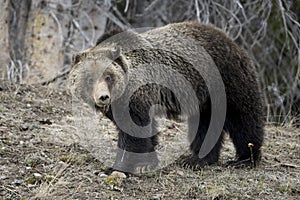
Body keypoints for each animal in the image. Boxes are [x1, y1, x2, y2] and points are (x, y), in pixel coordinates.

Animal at [68, 20, 264, 173]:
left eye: (108, 76)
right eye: (90, 78)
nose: (103, 97)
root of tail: (230, 40)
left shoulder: (135, 97)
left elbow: (133, 134)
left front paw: (117, 167)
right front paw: (148, 162)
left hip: (225, 78)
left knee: (242, 117)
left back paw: (245, 159)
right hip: (204, 96)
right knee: (205, 124)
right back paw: (197, 159)